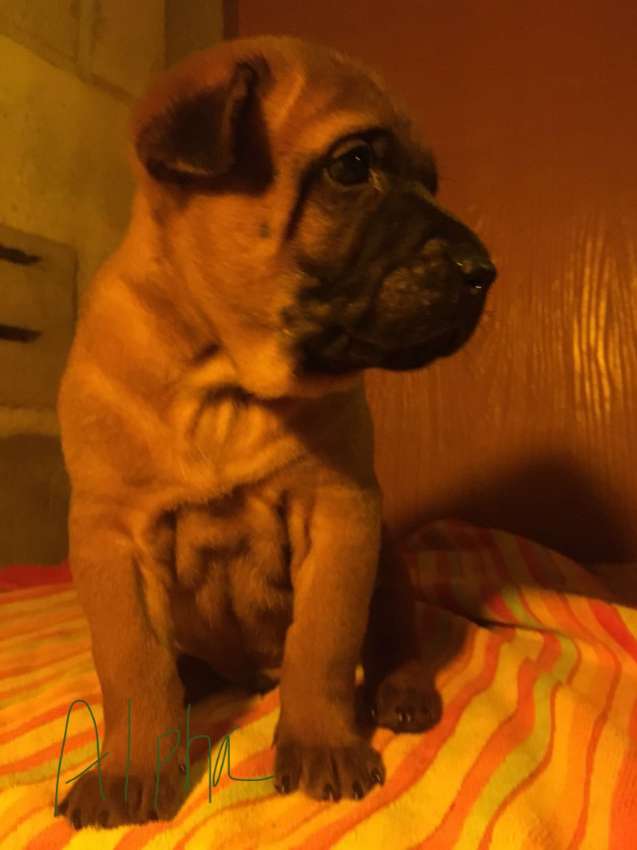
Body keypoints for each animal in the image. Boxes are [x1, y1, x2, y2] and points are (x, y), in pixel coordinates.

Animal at [57, 36, 494, 824]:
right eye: (353, 165)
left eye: (431, 182)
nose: (485, 270)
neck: (223, 379)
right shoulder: (112, 535)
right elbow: (135, 666)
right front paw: (133, 769)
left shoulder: (341, 514)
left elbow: (321, 645)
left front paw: (322, 742)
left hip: (386, 555)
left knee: (394, 632)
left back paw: (400, 692)